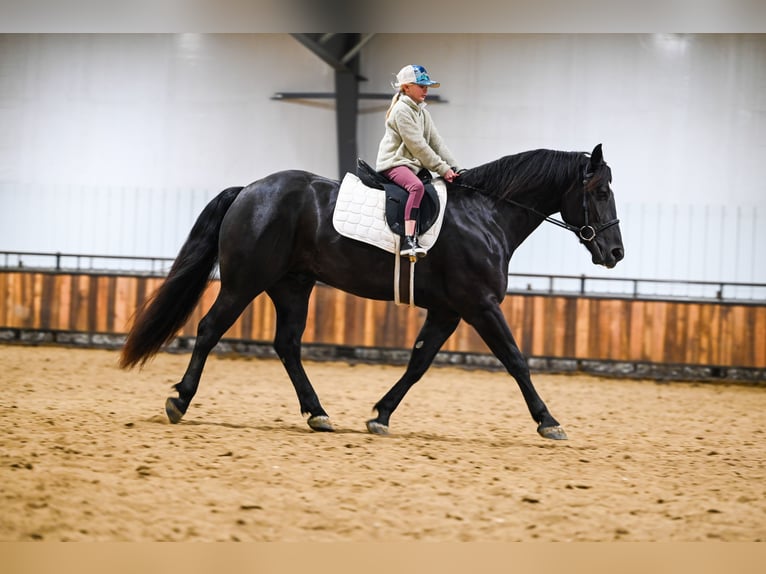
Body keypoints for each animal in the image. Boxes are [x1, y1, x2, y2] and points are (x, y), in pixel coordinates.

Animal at [119, 144, 623, 440]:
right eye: (600, 192)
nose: (615, 252)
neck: (487, 214)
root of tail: (250, 190)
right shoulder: (479, 305)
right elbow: (516, 360)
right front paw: (549, 421)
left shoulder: (447, 311)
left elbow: (419, 363)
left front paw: (380, 415)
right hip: (246, 282)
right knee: (209, 329)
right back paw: (180, 400)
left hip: (292, 286)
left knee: (287, 344)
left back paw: (317, 413)